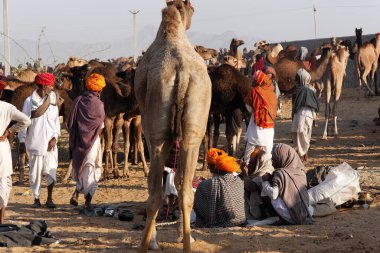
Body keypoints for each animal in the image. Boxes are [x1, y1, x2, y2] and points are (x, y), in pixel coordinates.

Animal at [134, 1, 211, 251]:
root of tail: (182, 72)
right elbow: (177, 182)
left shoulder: (152, 131)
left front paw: (154, 239)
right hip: (194, 131)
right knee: (186, 190)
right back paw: (187, 243)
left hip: (158, 134)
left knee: (155, 193)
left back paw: (146, 244)